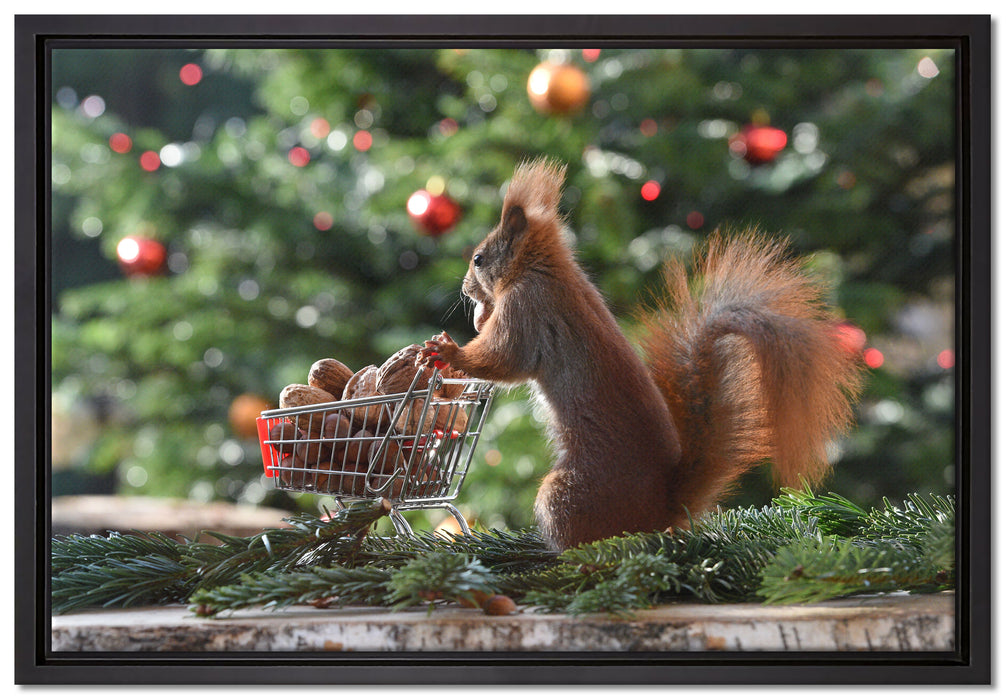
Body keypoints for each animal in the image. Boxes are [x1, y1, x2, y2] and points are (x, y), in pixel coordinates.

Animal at [419, 158, 865, 551]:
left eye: (479, 259)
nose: (465, 289)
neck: (544, 269)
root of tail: (662, 510)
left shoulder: (528, 309)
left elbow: (503, 358)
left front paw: (449, 351)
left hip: (566, 494)